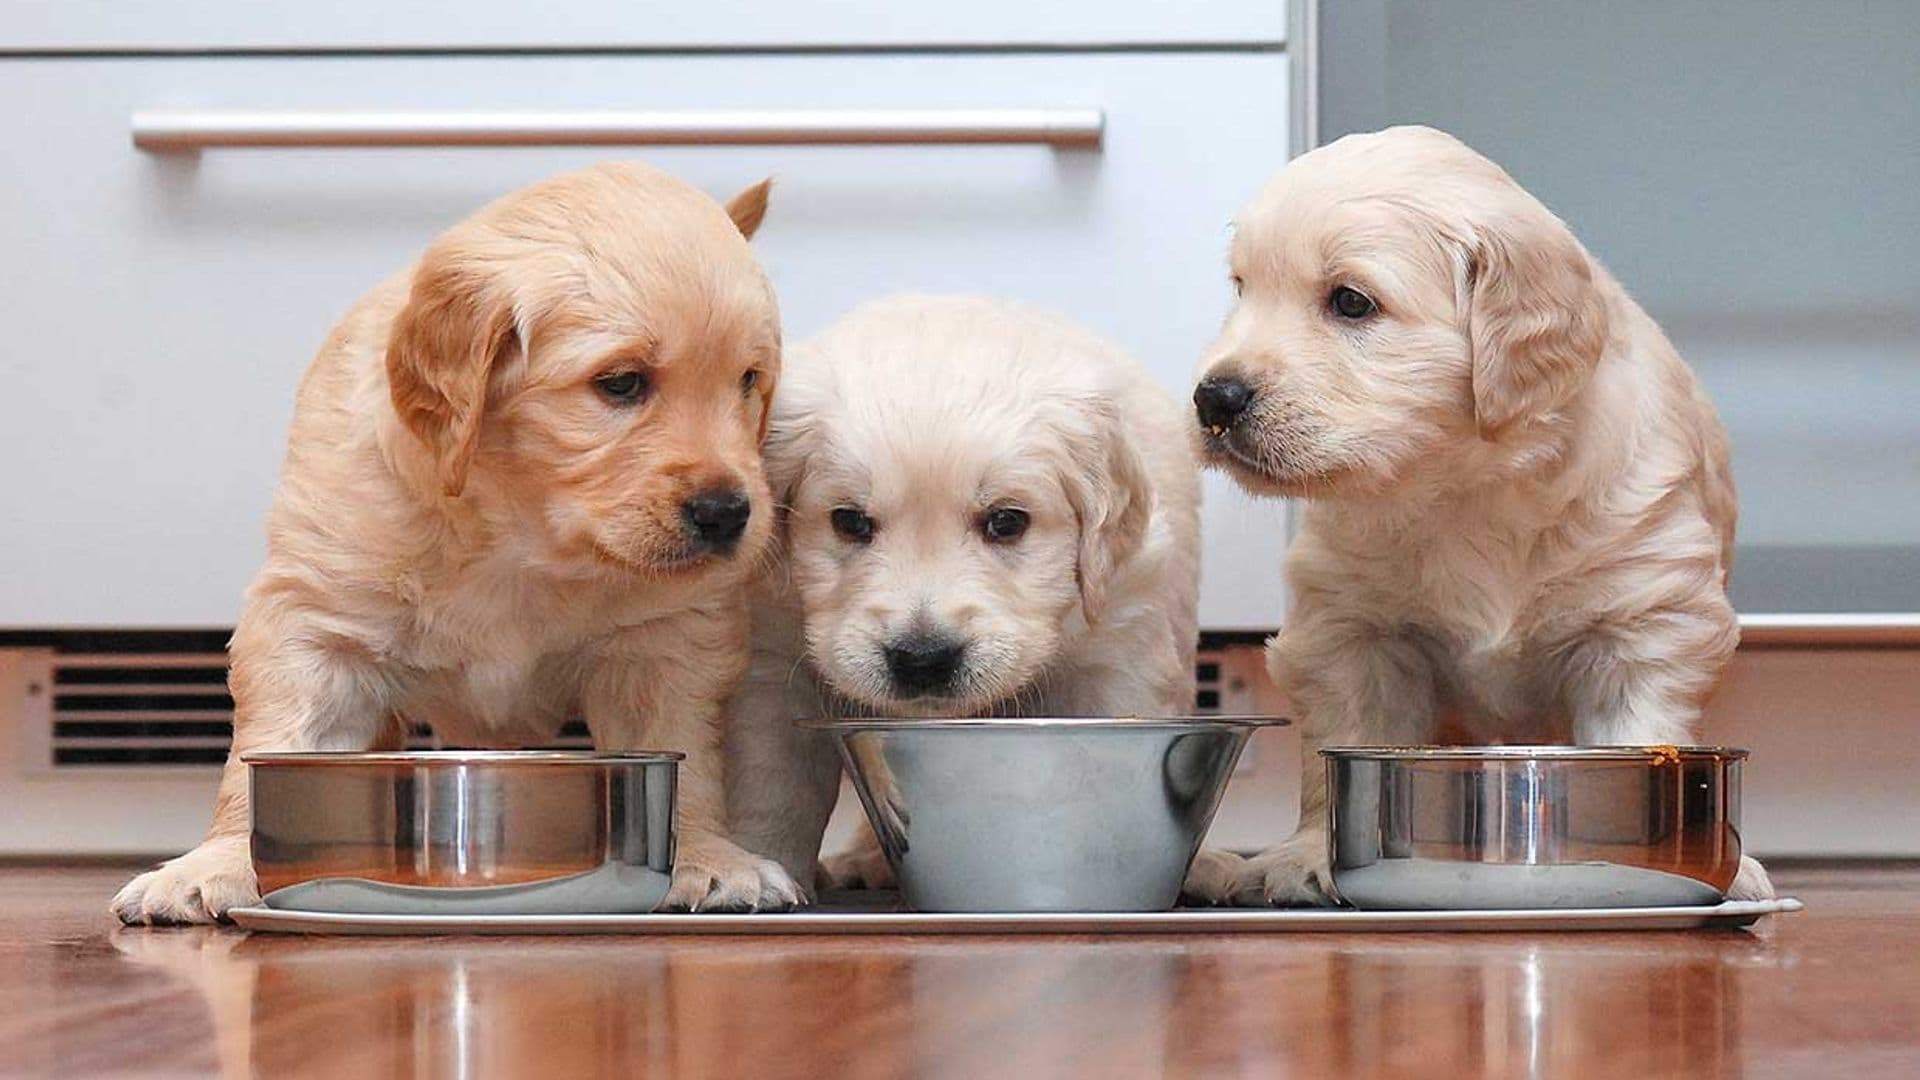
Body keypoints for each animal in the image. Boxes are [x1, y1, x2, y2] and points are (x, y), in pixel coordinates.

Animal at [112, 164, 802, 922]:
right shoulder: (315, 621)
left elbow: (684, 753)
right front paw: (218, 862)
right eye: (621, 383)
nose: (728, 513)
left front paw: (708, 856)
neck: (521, 532)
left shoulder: (667, 637)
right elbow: (269, 747)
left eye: (749, 380)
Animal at [721, 292, 1244, 899]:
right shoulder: (771, 657)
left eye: (1006, 521)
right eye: (849, 521)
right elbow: (773, 789)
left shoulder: (1119, 648)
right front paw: (757, 869)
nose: (922, 658)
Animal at [1190, 123, 1774, 899]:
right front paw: (1311, 854)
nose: (1213, 398)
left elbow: (1639, 730)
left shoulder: (1645, 621)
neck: (1465, 486)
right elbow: (1339, 746)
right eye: (1241, 289)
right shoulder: (1352, 630)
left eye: (1351, 302)